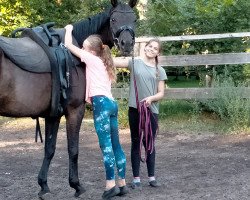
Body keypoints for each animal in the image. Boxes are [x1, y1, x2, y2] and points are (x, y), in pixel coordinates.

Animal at [0, 0, 137, 197]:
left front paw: (43, 185)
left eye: (134, 19)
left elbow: (49, 149)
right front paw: (76, 185)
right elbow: (73, 149)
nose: (126, 44)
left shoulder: (53, 114)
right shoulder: (74, 110)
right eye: (113, 19)